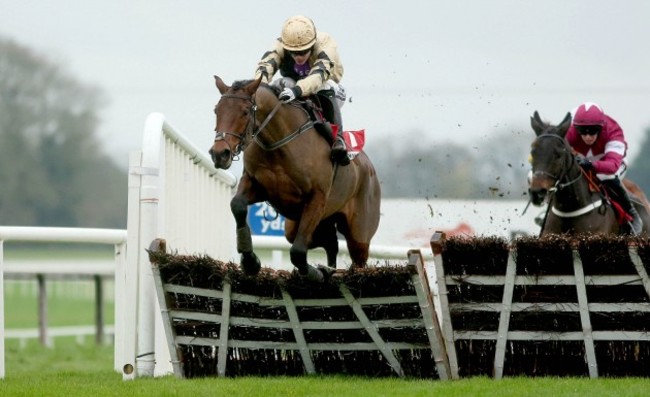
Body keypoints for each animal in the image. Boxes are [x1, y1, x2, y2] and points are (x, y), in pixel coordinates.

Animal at [208, 76, 380, 280]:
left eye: (245, 112)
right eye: (217, 110)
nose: (220, 154)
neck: (279, 144)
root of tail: (370, 167)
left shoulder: (316, 199)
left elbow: (298, 252)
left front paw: (315, 273)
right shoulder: (257, 185)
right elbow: (238, 205)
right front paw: (250, 262)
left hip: (358, 234)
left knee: (357, 258)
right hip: (308, 224)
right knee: (330, 243)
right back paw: (329, 268)